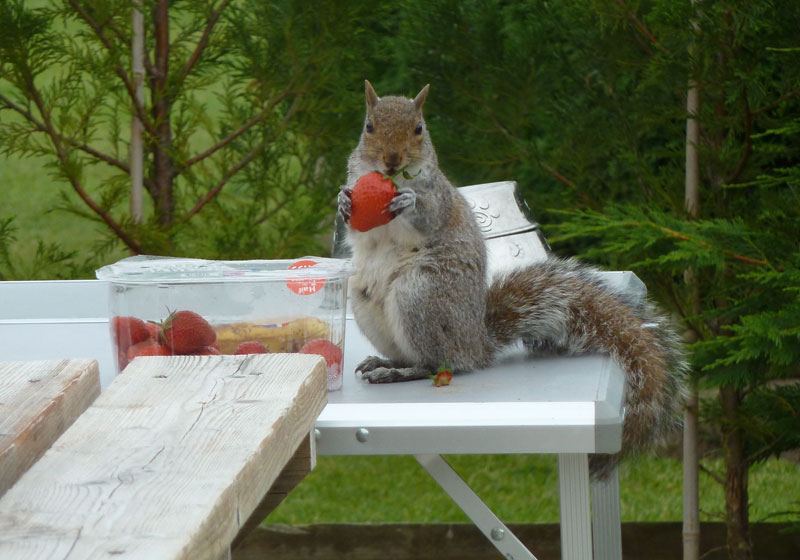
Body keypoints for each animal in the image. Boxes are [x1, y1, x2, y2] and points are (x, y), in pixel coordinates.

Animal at [337, 81, 688, 476]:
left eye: (419, 129)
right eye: (368, 126)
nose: (392, 160)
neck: (393, 181)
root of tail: (476, 343)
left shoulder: (438, 199)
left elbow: (428, 215)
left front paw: (408, 201)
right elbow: (354, 224)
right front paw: (343, 202)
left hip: (419, 296)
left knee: (439, 362)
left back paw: (401, 372)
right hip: (367, 304)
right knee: (422, 357)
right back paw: (386, 363)